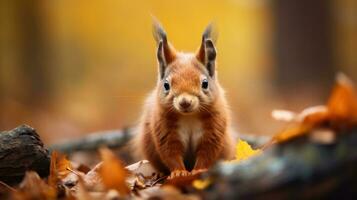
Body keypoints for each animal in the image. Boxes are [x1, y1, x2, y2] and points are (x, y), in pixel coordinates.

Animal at [132, 21, 235, 179]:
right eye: (166, 85)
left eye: (205, 83)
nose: (185, 102)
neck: (189, 117)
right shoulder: (165, 131)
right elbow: (171, 154)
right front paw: (179, 172)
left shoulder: (213, 130)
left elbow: (207, 153)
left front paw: (199, 170)